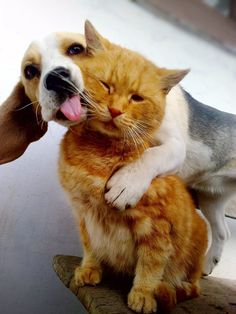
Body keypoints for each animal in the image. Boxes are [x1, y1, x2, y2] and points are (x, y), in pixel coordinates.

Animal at [0, 20, 234, 274]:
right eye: (30, 71)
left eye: (76, 49)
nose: (56, 78)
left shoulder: (174, 146)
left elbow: (152, 154)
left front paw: (126, 186)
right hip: (210, 199)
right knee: (223, 231)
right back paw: (208, 262)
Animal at [59, 21, 208, 312]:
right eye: (105, 85)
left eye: (137, 98)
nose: (115, 110)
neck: (99, 153)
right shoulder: (82, 213)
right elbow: (90, 246)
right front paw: (89, 268)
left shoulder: (156, 229)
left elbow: (150, 265)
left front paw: (142, 294)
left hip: (200, 239)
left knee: (191, 285)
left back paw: (170, 289)